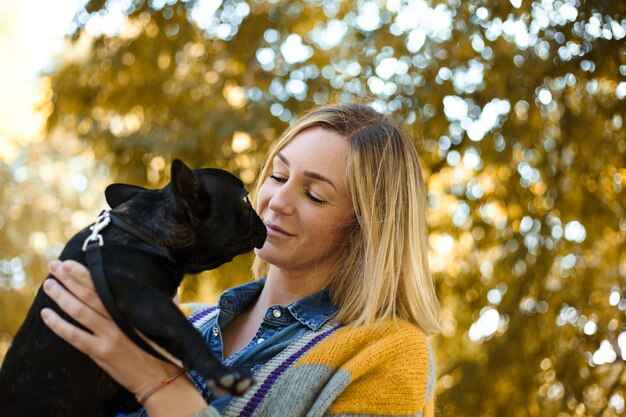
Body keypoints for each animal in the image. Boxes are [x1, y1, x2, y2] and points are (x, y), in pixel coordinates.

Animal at [0, 159, 266, 416]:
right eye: (245, 199)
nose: (261, 220)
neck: (145, 234)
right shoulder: (144, 299)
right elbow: (185, 331)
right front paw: (221, 373)